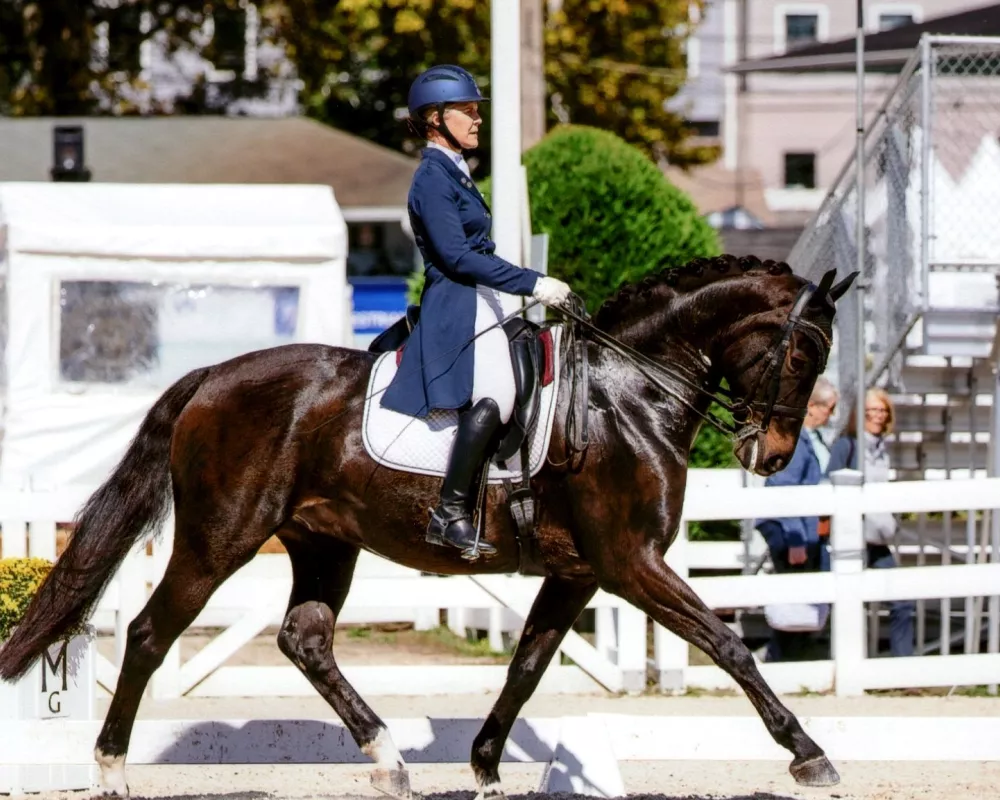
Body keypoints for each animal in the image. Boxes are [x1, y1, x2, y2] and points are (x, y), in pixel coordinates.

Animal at [1, 255, 852, 792]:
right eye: (801, 351)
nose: (773, 455)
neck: (627, 394)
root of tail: (211, 376)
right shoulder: (631, 563)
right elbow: (728, 645)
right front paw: (808, 753)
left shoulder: (579, 573)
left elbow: (526, 667)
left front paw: (484, 765)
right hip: (221, 538)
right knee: (150, 634)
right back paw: (111, 769)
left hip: (323, 543)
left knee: (304, 639)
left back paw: (387, 759)